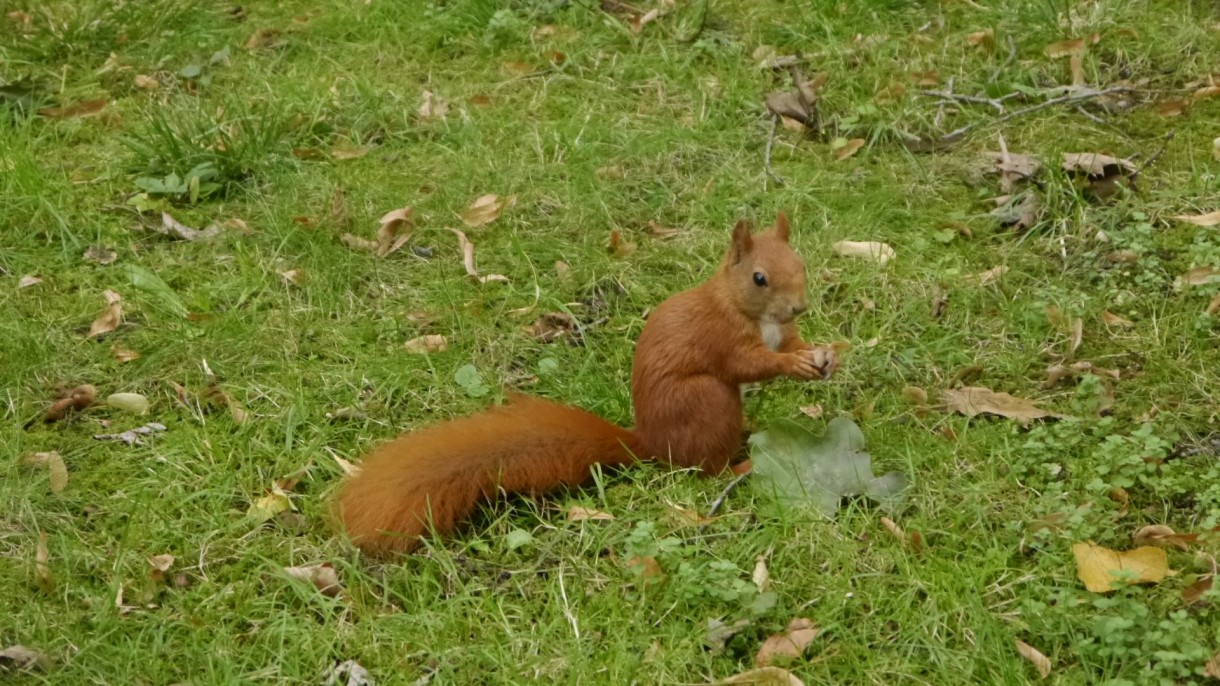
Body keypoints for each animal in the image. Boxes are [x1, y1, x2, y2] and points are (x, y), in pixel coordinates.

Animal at [339, 213, 844, 556]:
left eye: (799, 263)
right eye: (759, 278)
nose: (798, 306)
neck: (750, 312)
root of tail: (651, 445)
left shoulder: (783, 331)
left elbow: (795, 343)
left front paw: (827, 355)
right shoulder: (723, 338)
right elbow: (750, 363)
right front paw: (794, 365)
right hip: (707, 399)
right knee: (705, 469)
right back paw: (740, 465)